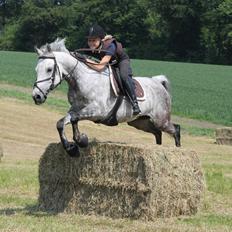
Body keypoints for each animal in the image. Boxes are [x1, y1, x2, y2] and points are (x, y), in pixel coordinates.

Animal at [31, 39, 180, 157]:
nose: (36, 96)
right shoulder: (75, 108)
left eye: (49, 69)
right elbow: (62, 122)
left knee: (175, 129)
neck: (82, 80)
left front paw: (81, 140)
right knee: (158, 133)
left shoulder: (98, 111)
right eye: (36, 70)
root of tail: (158, 82)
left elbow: (74, 119)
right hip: (140, 122)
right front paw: (71, 148)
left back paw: (178, 149)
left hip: (161, 120)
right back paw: (158, 148)